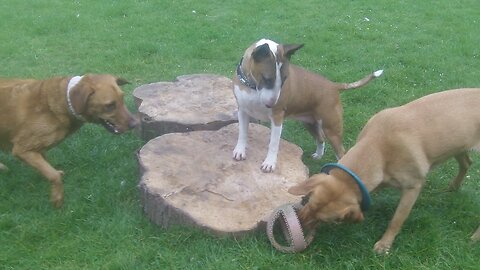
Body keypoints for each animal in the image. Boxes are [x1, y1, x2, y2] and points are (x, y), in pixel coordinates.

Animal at [0, 75, 139, 208]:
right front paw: (57, 198)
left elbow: (47, 167)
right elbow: (53, 175)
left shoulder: (37, 149)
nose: (135, 124)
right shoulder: (22, 149)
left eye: (122, 99)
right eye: (110, 105)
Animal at [232, 38, 382, 172]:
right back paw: (318, 155)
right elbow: (242, 133)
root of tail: (334, 86)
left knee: (341, 151)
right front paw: (239, 151)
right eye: (267, 79)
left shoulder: (277, 118)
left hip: (331, 128)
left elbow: (273, 143)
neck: (251, 87)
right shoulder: (243, 111)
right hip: (310, 123)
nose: (271, 104)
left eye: (285, 79)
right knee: (320, 138)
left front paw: (269, 164)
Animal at [288, 88, 480, 253]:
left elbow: (396, 220)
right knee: (467, 163)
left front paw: (385, 244)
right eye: (309, 202)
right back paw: (453, 187)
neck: (378, 146)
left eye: (325, 219)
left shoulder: (413, 188)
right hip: (457, 146)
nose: (300, 224)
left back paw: (475, 237)